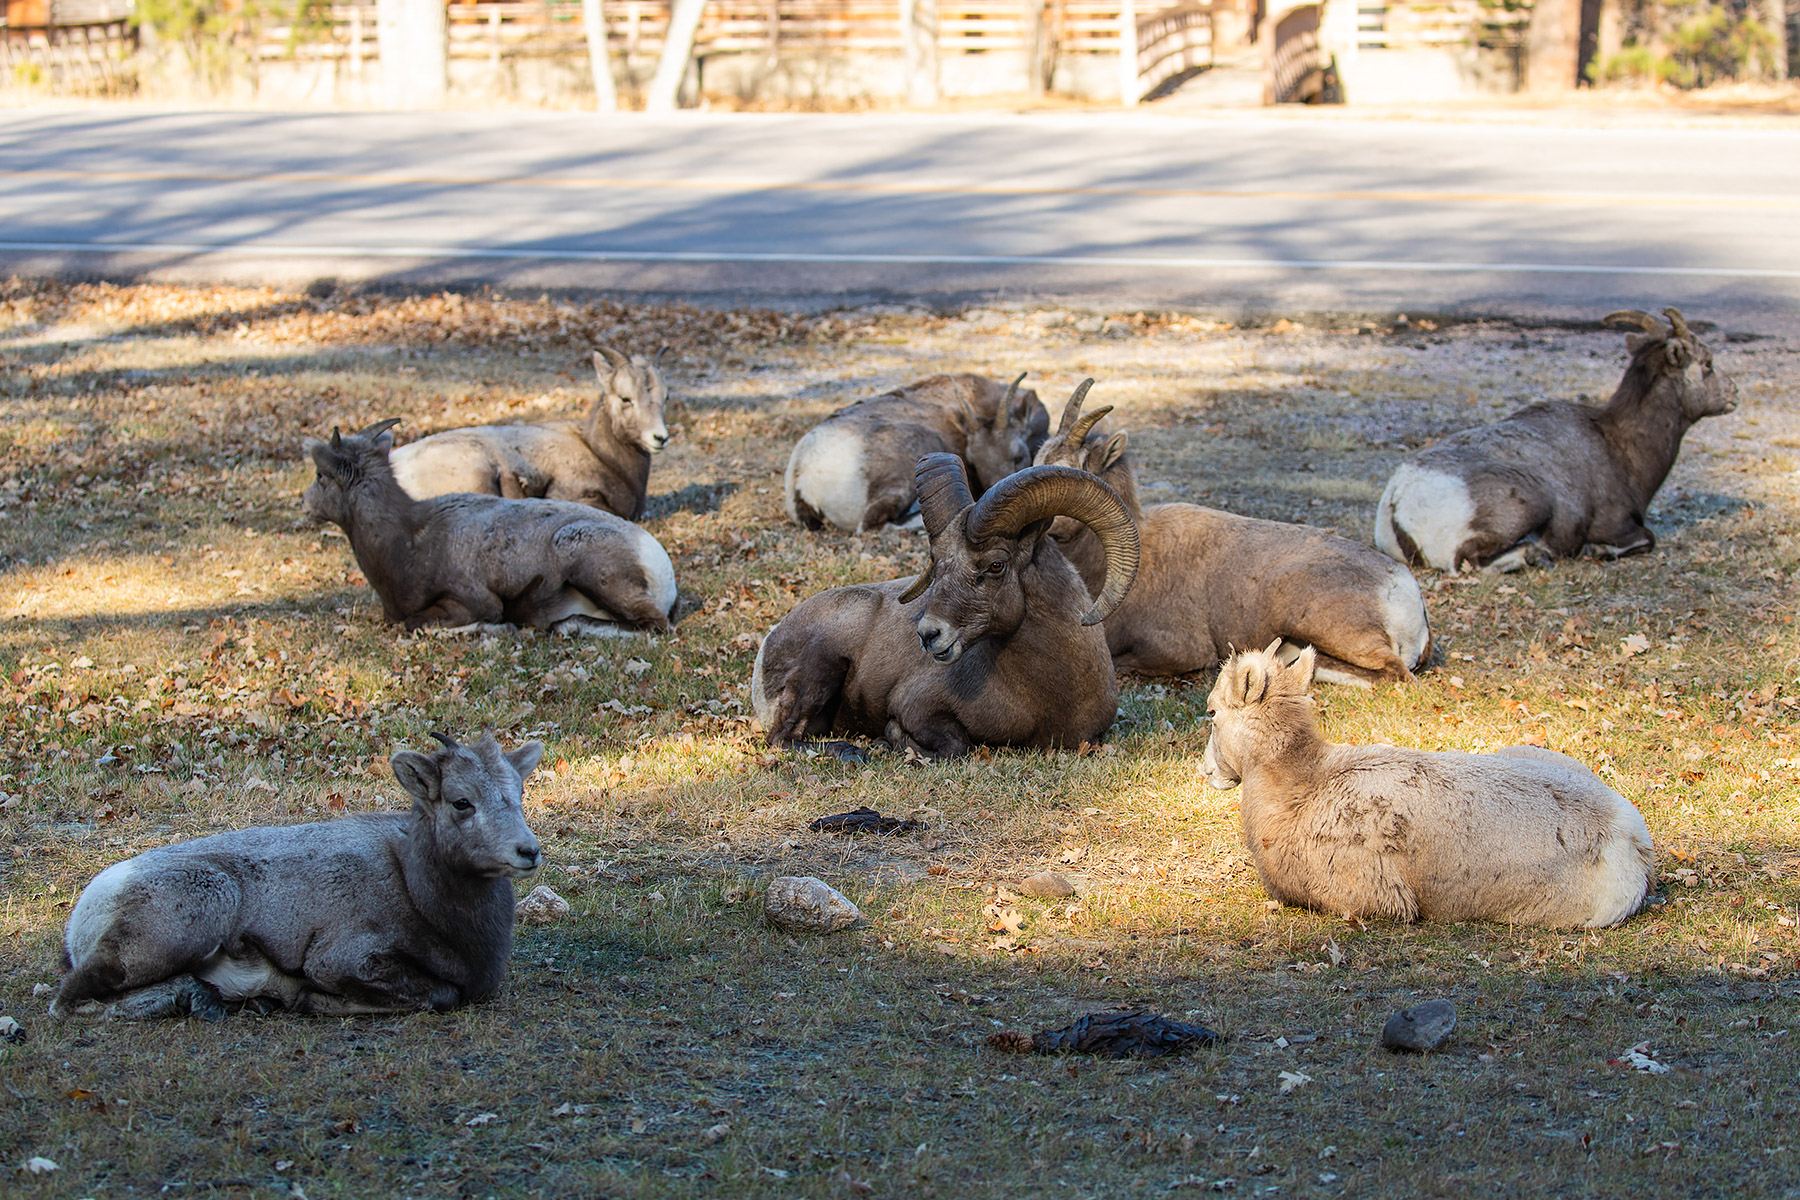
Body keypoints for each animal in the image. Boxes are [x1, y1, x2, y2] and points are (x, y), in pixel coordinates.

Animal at [50, 732, 545, 1020]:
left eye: (519, 793)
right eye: (462, 802)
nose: (528, 852)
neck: (412, 888)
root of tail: (82, 918)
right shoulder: (342, 959)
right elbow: (439, 995)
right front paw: (309, 999)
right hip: (197, 909)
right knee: (69, 1002)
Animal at [303, 419, 676, 635]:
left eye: (321, 475)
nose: (305, 505)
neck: (408, 543)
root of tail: (659, 566)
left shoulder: (474, 602)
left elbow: (417, 625)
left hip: (581, 557)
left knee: (652, 625)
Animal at [753, 452, 1139, 759]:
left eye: (996, 564)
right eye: (936, 562)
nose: (928, 634)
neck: (1051, 694)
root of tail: (767, 646)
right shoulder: (917, 707)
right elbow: (957, 746)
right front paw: (893, 740)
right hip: (822, 668)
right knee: (782, 738)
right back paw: (851, 752)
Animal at [1375, 307, 1738, 572]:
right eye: (1708, 363)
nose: (1734, 393)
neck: (1618, 449)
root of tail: (1398, 499)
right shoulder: (1620, 525)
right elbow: (1647, 539)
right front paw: (1597, 550)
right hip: (1530, 505)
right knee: (1469, 562)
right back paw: (1536, 555)